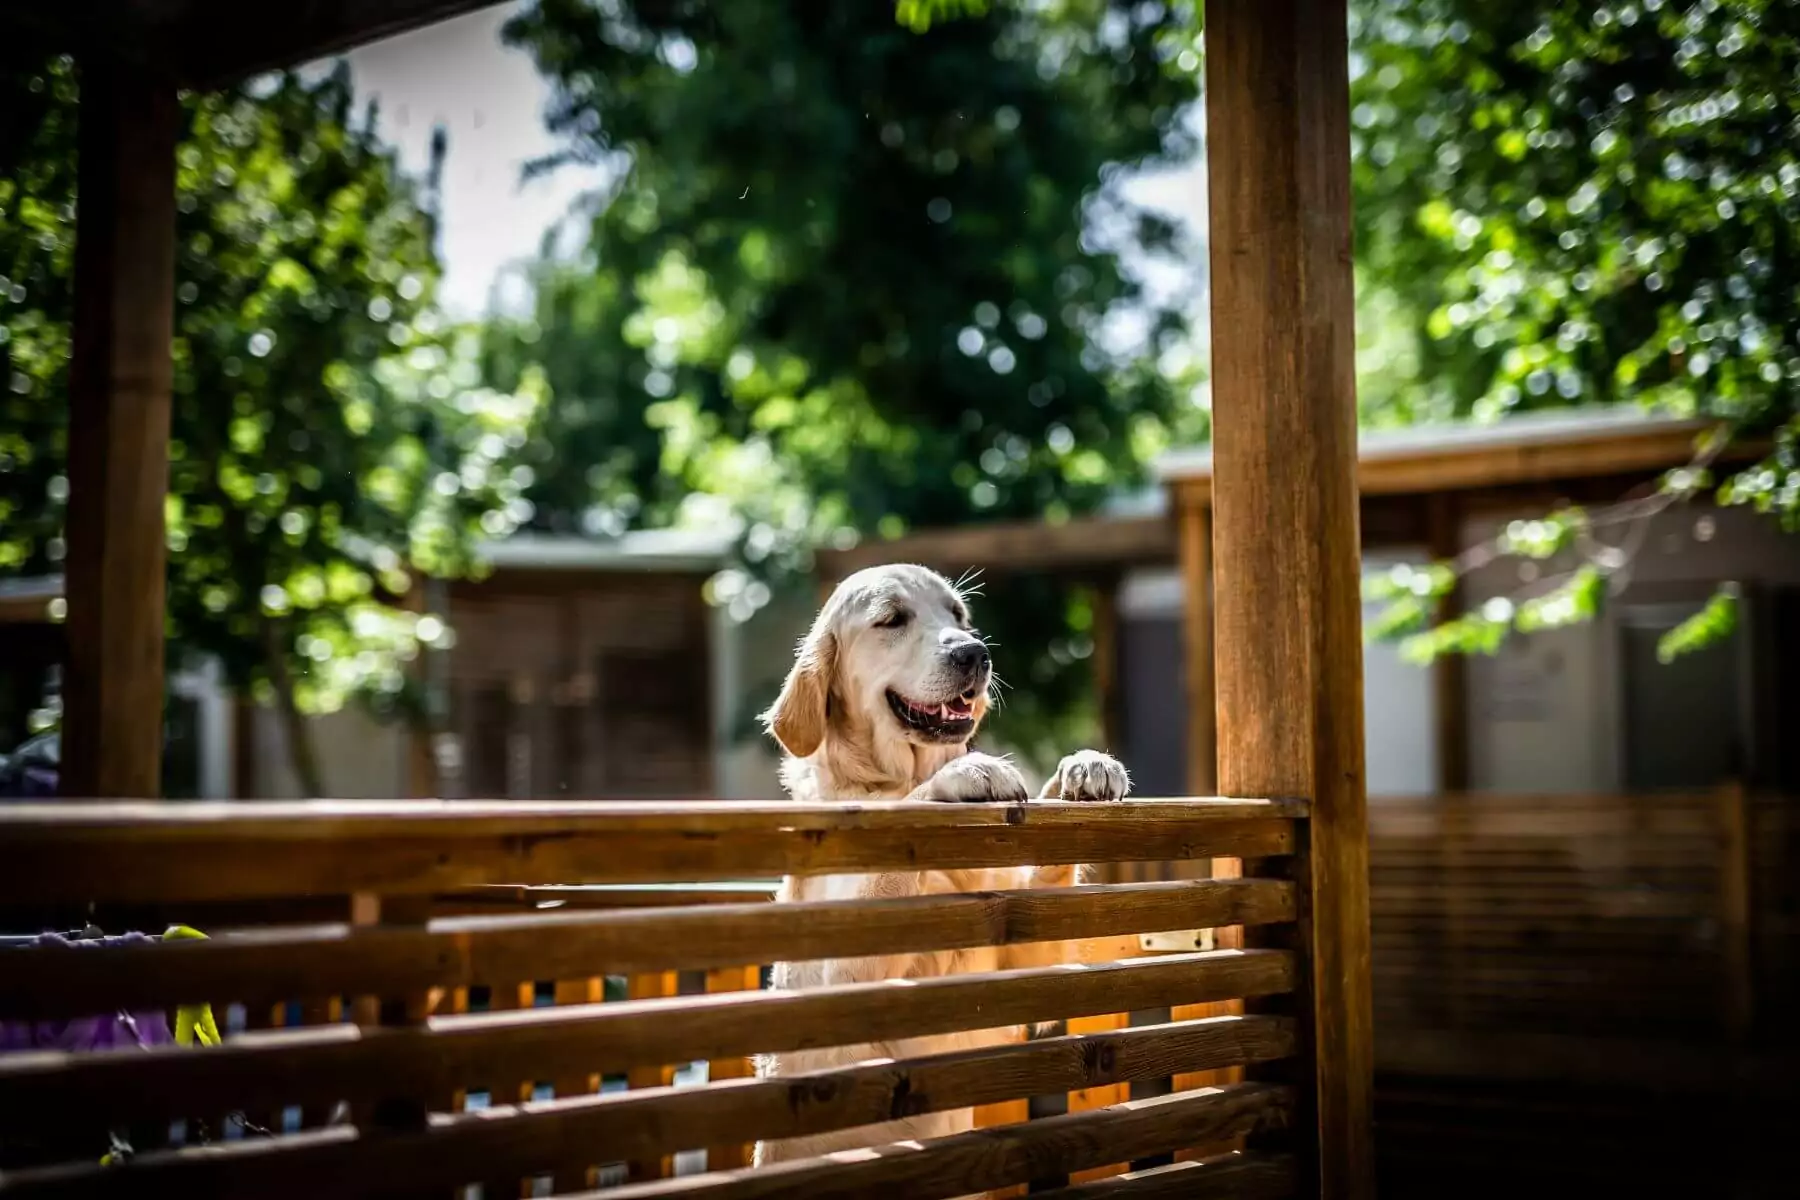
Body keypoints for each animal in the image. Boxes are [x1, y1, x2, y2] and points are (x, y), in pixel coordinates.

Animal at [752, 564, 1130, 1173]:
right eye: (891, 619)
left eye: (959, 616)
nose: (975, 653)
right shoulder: (844, 977)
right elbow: (910, 812)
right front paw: (965, 775)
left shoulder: (1026, 961)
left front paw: (1085, 767)